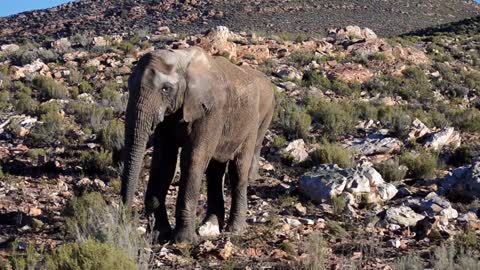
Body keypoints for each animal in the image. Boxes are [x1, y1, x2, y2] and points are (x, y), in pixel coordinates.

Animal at [121, 46, 274, 243]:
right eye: (129, 85)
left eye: (165, 89)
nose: (125, 218)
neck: (180, 59)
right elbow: (164, 162)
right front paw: (159, 235)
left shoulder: (210, 110)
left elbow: (193, 158)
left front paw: (183, 240)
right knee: (215, 172)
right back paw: (210, 226)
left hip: (252, 124)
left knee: (238, 170)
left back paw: (235, 230)